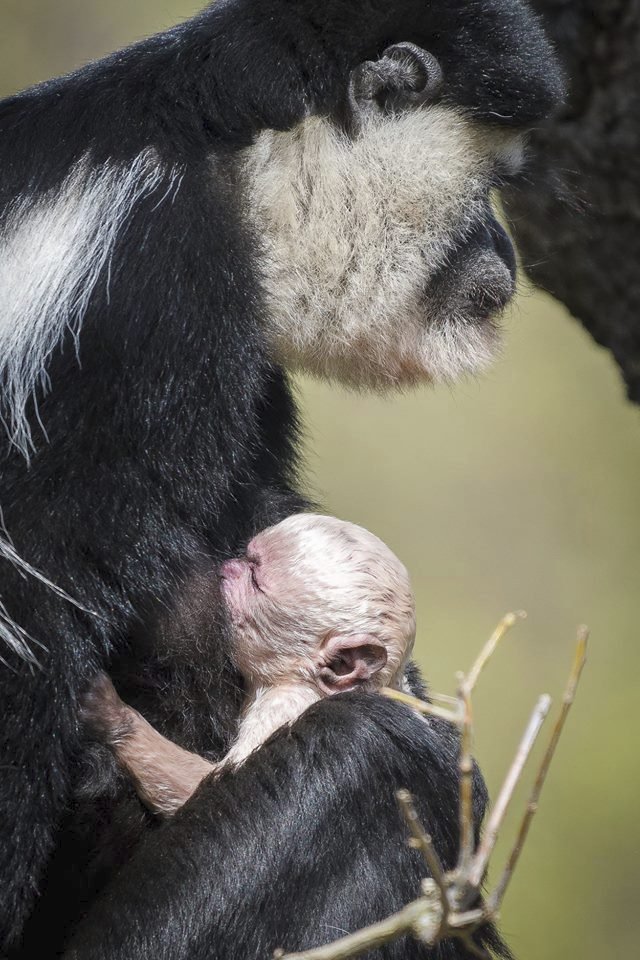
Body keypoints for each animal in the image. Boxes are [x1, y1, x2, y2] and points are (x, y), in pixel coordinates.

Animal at [84, 516, 416, 816]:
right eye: (247, 556)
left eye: (255, 579)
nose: (230, 565)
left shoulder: (284, 703)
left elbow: (202, 789)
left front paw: (111, 714)